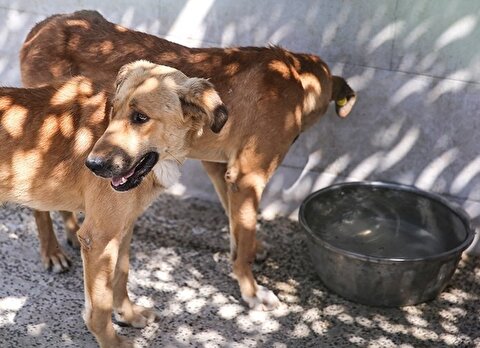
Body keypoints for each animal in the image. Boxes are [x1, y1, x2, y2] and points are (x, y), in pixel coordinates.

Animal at [1, 61, 227, 346]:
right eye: (113, 110)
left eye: (140, 117)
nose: (91, 165)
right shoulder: (99, 238)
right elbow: (99, 306)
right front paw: (112, 341)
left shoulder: (123, 228)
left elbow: (121, 275)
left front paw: (128, 315)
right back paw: (53, 253)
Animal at [20, 10, 354, 310]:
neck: (295, 77)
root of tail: (40, 26)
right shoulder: (248, 176)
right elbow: (244, 234)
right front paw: (251, 290)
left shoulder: (221, 169)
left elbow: (236, 222)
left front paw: (250, 251)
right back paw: (51, 251)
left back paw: (71, 232)